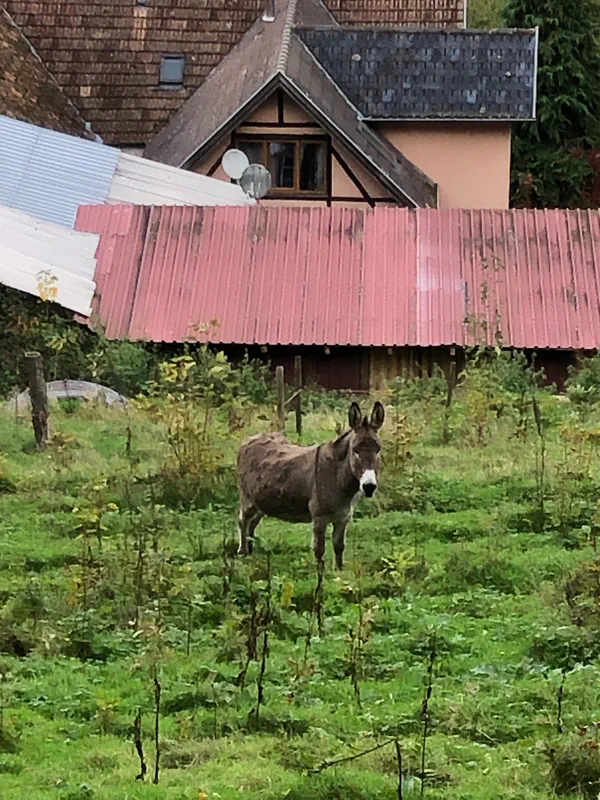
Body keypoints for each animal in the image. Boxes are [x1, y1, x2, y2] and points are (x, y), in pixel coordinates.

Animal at [236, 401, 385, 568]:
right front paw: (321, 574)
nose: (369, 486)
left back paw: (250, 551)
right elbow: (319, 550)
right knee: (243, 521)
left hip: (261, 502)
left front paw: (339, 572)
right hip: (247, 498)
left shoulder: (343, 518)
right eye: (355, 450)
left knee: (252, 523)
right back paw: (242, 553)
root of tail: (251, 438)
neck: (337, 476)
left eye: (378, 450)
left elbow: (339, 547)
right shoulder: (319, 517)